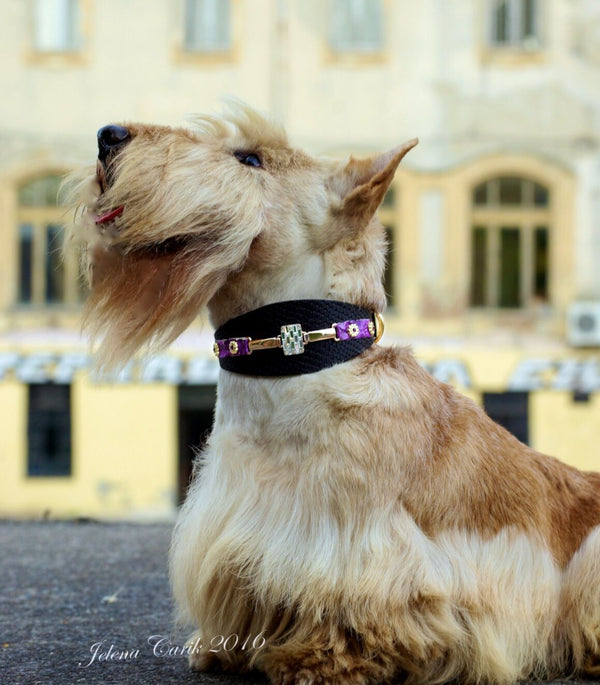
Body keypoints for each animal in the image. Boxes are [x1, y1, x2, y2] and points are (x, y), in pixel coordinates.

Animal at [70, 103, 600, 684]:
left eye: (250, 158)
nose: (107, 135)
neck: (297, 363)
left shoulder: (370, 556)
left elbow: (353, 614)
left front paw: (314, 659)